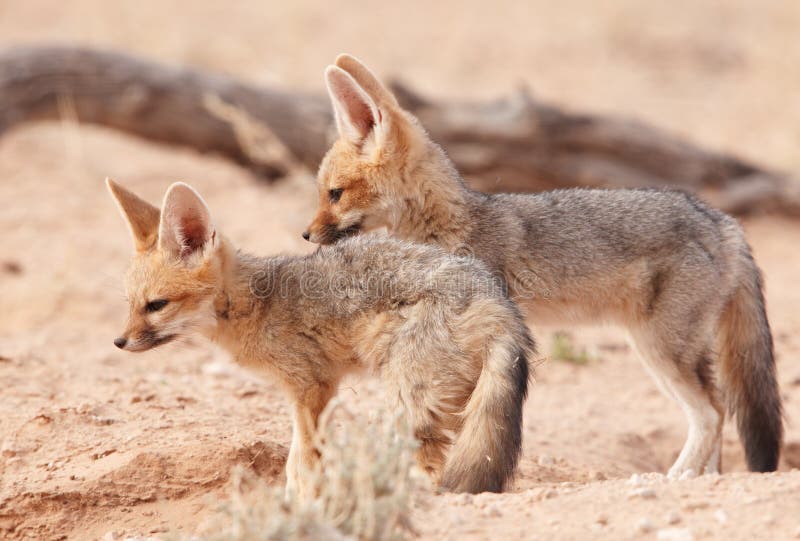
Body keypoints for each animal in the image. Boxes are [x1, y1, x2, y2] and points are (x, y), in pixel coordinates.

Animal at [104, 179, 532, 496]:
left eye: (156, 305)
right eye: (131, 304)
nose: (119, 343)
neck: (258, 303)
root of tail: (497, 301)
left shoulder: (311, 385)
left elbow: (302, 460)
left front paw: (301, 501)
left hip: (408, 399)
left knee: (429, 462)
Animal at [304, 53, 784, 476]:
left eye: (334, 194)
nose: (307, 236)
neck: (453, 226)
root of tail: (721, 220)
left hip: (662, 350)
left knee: (712, 413)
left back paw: (678, 476)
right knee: (716, 414)